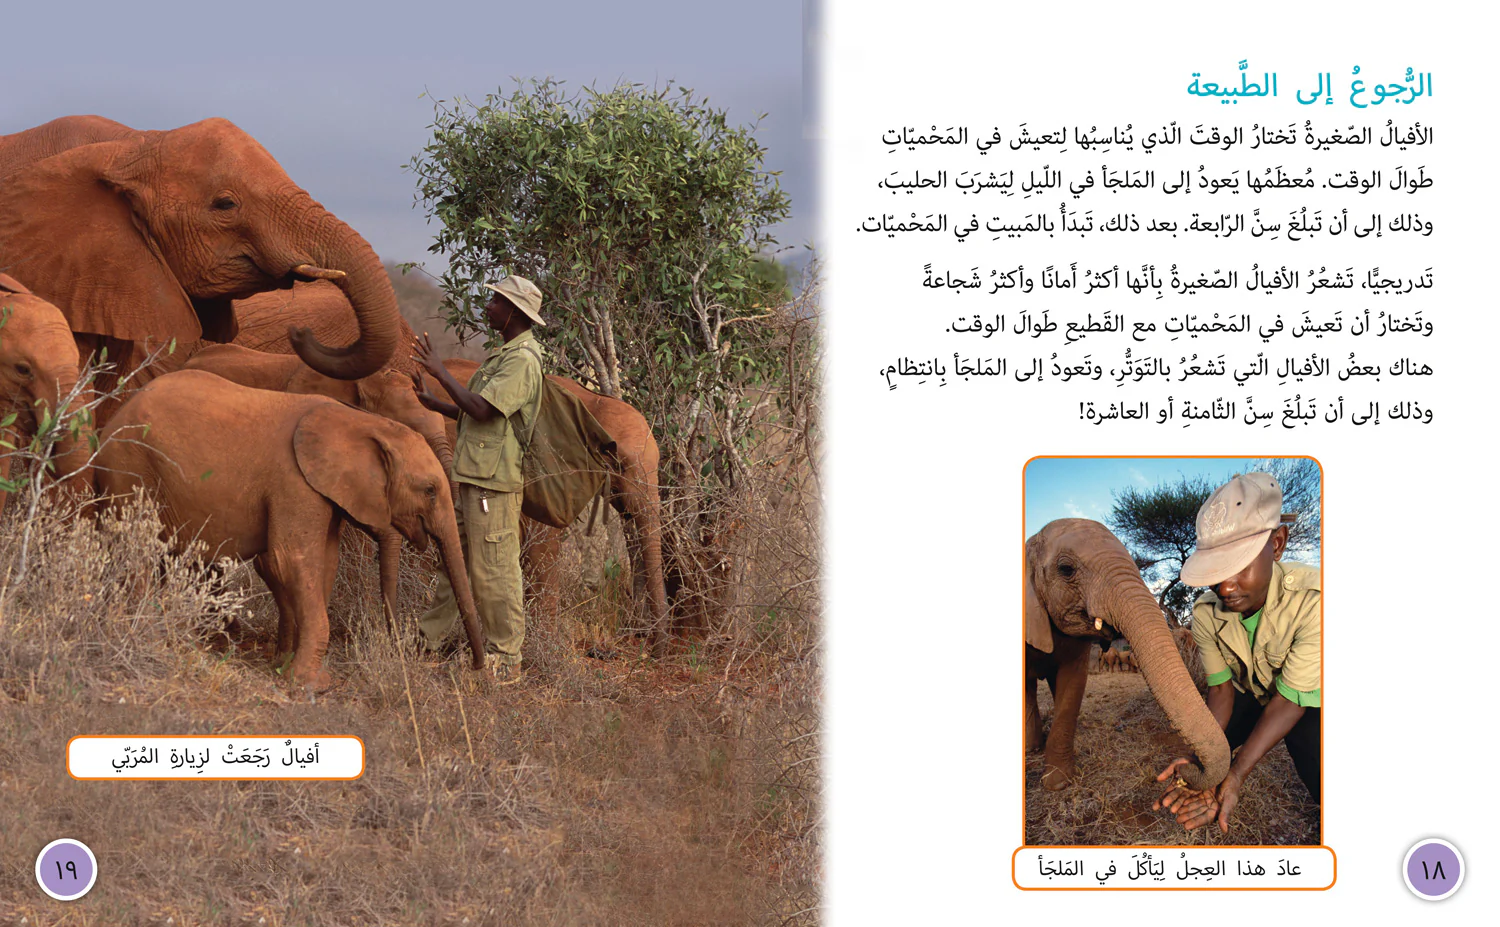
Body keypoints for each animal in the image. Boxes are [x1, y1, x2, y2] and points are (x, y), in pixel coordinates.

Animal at [94, 370, 485, 689]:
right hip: (129, 467)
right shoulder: (293, 480)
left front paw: (292, 669)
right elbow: (291, 559)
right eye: (430, 490)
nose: (477, 666)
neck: (359, 421)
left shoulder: (321, 489)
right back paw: (146, 636)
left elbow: (324, 563)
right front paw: (310, 685)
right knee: (138, 551)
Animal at [1025, 518, 1230, 792]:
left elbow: (1072, 685)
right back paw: (1032, 747)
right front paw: (1056, 783)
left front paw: (1058, 781)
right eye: (1066, 569)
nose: (1184, 768)